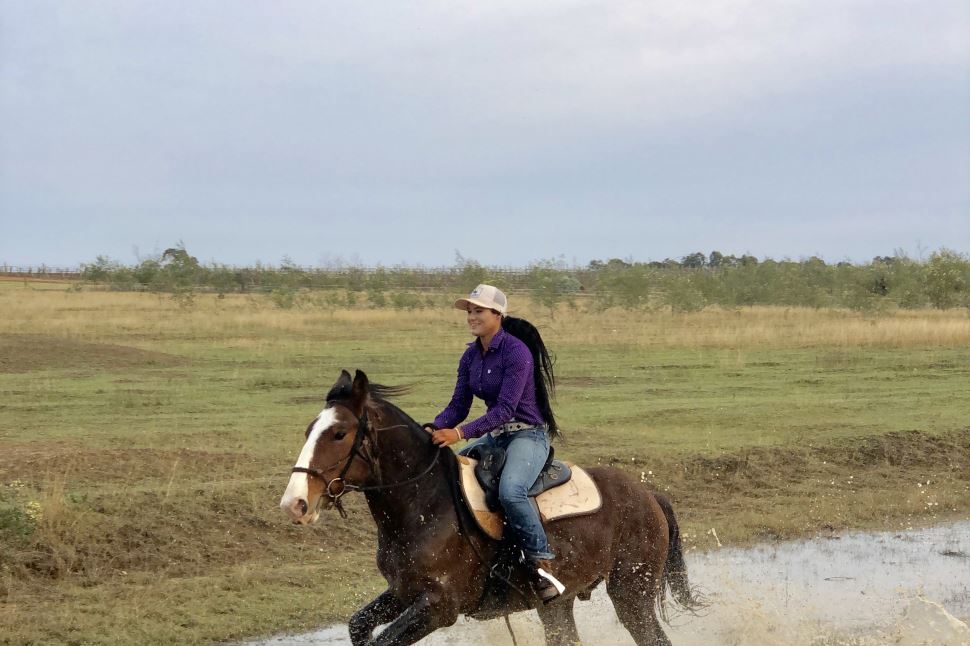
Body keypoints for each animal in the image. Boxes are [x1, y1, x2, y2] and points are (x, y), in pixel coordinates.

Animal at [279, 370, 697, 646]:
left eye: (339, 433)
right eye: (308, 430)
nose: (294, 503)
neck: (424, 505)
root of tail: (649, 496)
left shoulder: (438, 607)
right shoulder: (402, 591)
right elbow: (358, 626)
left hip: (632, 594)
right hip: (557, 604)